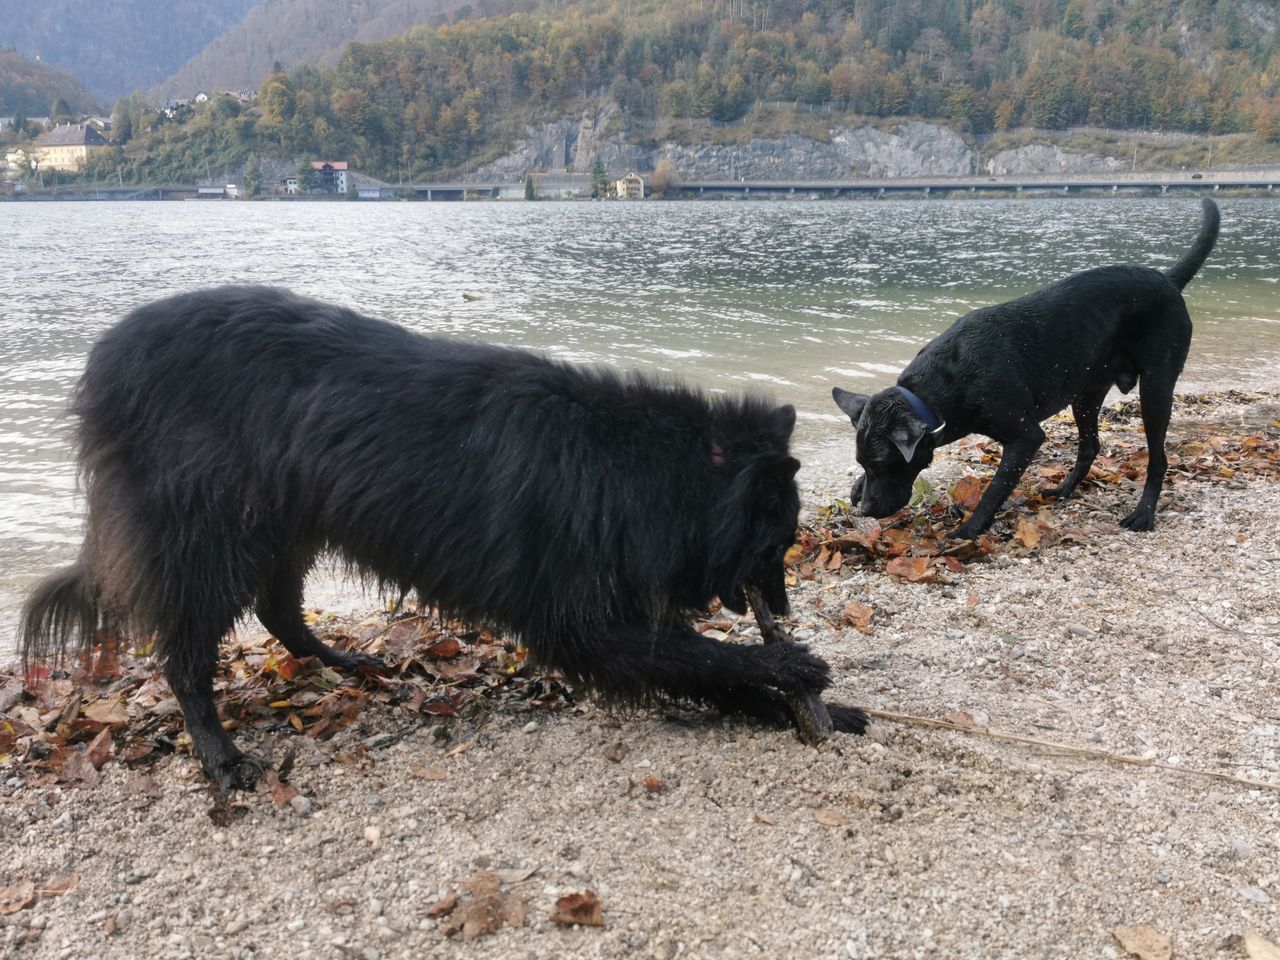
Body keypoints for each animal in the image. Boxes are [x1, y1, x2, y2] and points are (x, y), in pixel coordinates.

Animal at [20, 288, 865, 798]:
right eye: (778, 546)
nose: (786, 606)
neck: (631, 468)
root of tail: (108, 356)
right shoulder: (582, 624)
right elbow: (703, 658)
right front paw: (789, 671)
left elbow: (701, 666)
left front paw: (832, 710)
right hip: (213, 542)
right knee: (187, 657)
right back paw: (222, 757)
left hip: (284, 524)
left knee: (279, 612)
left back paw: (349, 664)